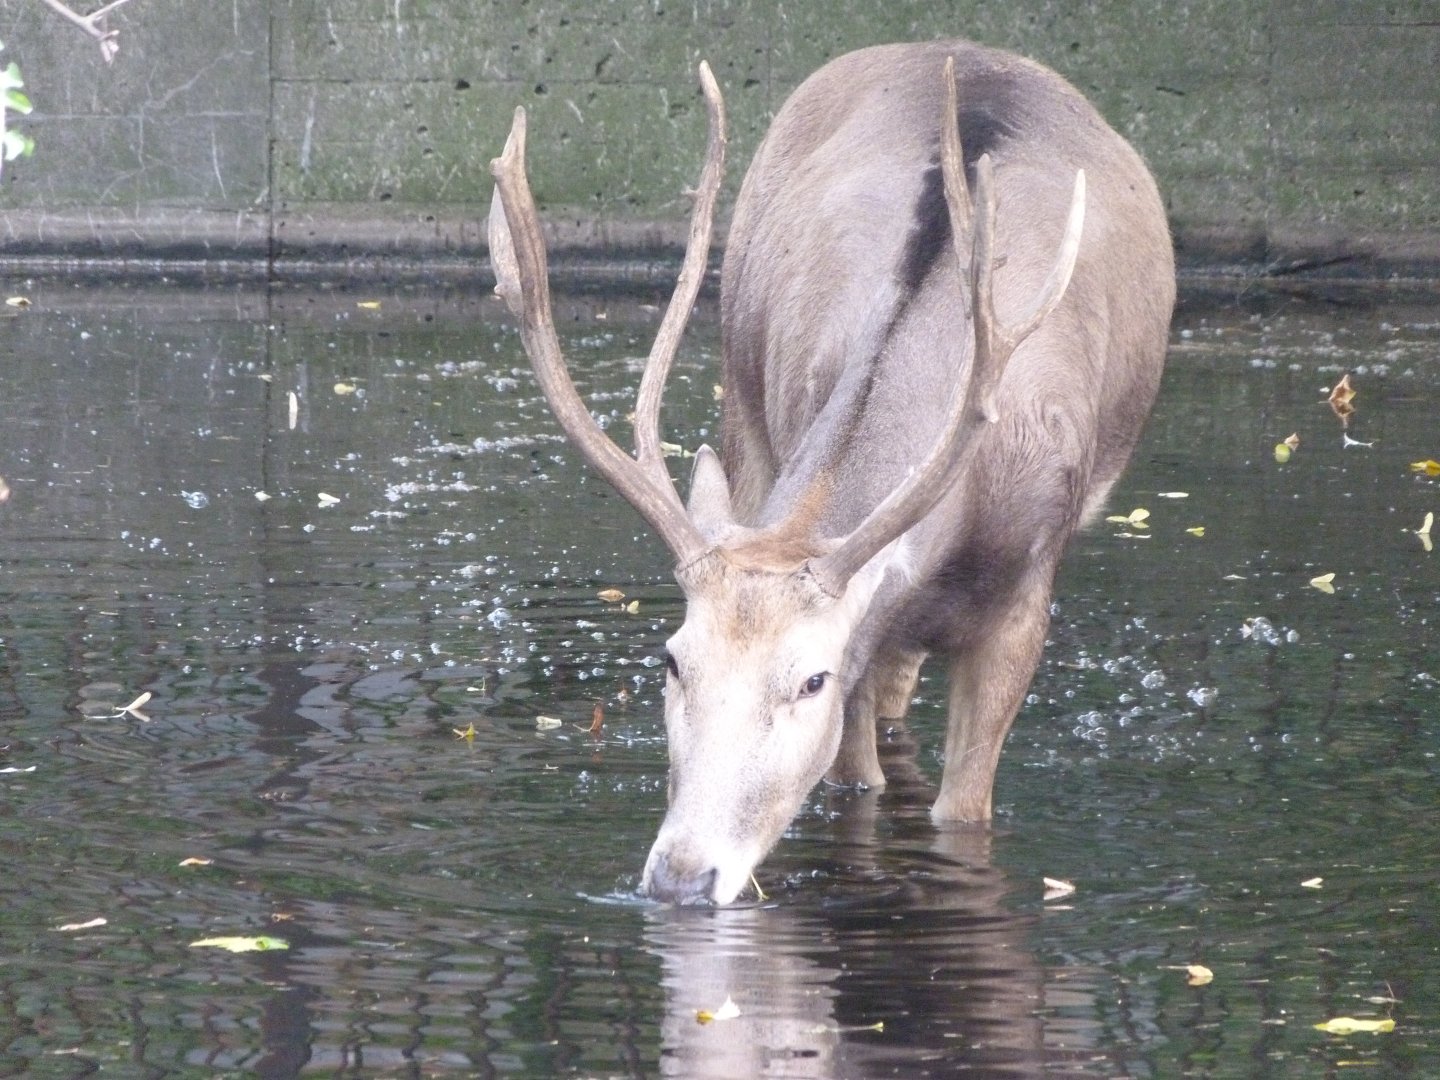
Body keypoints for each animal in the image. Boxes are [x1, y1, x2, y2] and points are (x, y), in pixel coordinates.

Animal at [489, 40, 1175, 905]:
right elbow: (858, 783)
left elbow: (964, 809)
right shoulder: (864, 621)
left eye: (810, 680)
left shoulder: (1025, 589)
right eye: (671, 659)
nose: (681, 878)